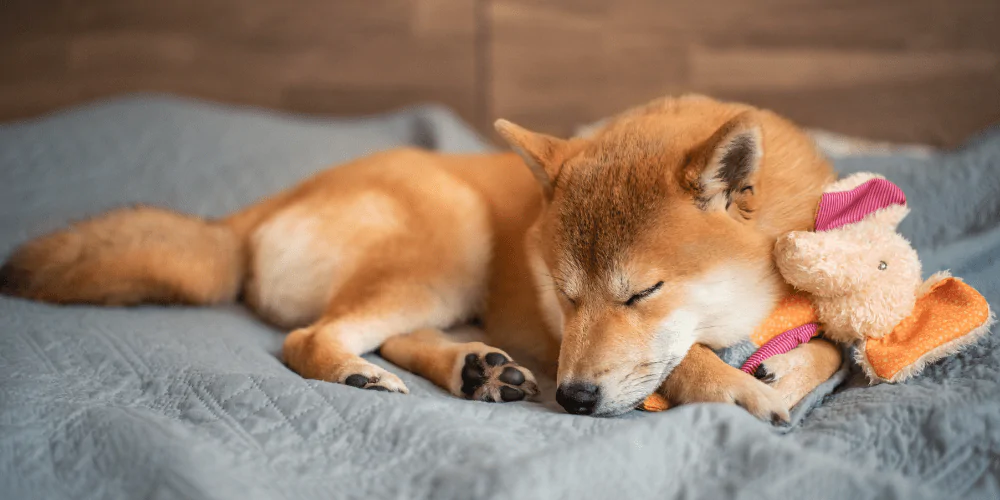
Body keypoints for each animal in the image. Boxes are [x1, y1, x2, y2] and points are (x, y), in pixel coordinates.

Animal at [0, 94, 840, 418]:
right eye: (564, 294)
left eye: (641, 293)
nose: (570, 398)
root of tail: (255, 213)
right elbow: (686, 361)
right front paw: (742, 392)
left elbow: (833, 348)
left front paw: (784, 370)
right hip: (453, 241)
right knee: (310, 337)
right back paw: (361, 373)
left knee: (400, 334)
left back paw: (478, 369)